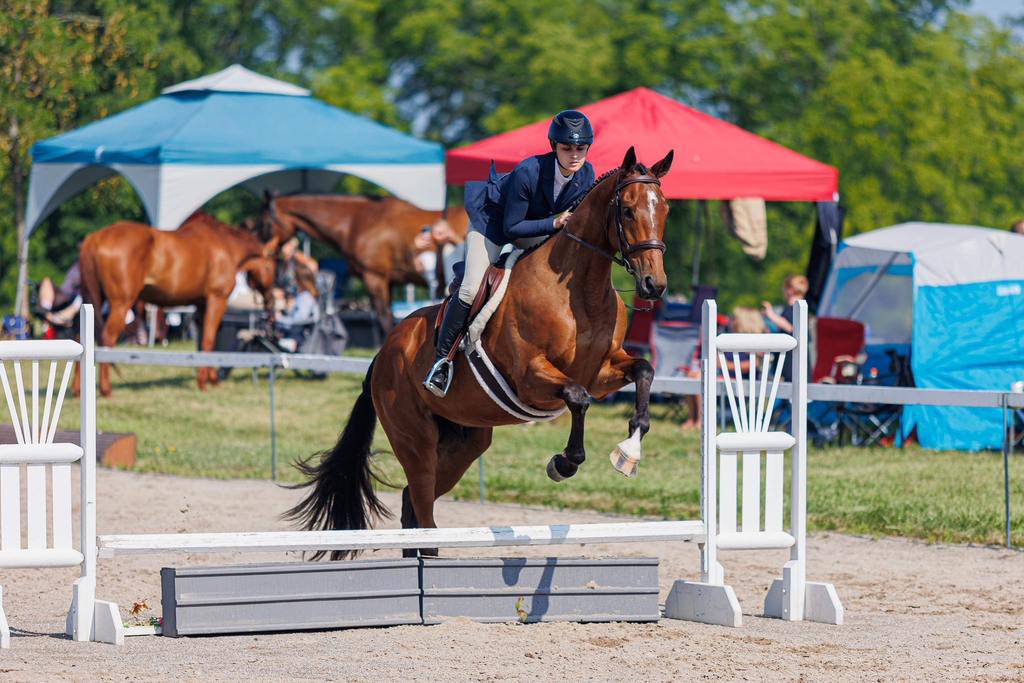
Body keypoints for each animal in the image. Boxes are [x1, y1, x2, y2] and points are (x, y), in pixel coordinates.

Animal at [79, 211, 278, 395]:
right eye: (271, 267)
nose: (271, 301)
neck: (226, 246)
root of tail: (95, 238)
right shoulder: (217, 300)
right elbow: (209, 340)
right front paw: (204, 383)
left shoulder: (201, 305)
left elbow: (204, 343)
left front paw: (211, 378)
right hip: (121, 304)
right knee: (107, 338)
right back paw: (106, 389)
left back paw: (77, 390)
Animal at [264, 193, 471, 331]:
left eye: (264, 223)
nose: (265, 253)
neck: (357, 221)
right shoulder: (388, 282)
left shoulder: (374, 278)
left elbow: (384, 320)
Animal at [288, 147, 671, 557]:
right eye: (627, 210)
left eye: (664, 209)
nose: (654, 285)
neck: (579, 291)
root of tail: (383, 353)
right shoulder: (530, 377)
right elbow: (577, 397)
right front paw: (564, 463)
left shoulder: (602, 371)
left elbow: (643, 370)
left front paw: (628, 452)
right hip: (415, 441)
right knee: (421, 507)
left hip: (464, 442)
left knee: (412, 503)